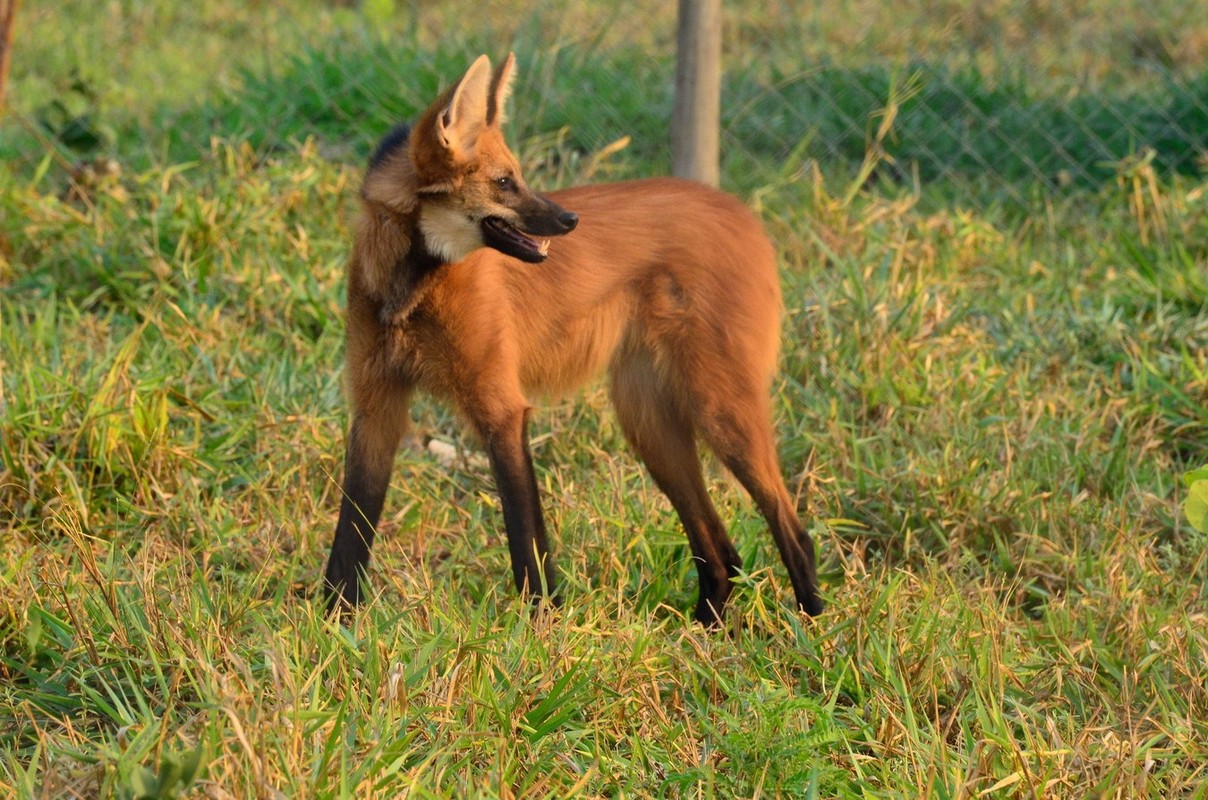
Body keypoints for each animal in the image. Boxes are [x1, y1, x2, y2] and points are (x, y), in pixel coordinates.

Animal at [326, 53, 826, 628]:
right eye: (504, 182)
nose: (570, 219)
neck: (411, 286)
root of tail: (742, 211)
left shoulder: (501, 409)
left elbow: (526, 538)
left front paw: (539, 625)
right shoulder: (374, 408)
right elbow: (350, 533)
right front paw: (334, 620)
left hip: (717, 409)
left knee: (792, 529)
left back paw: (812, 630)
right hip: (649, 423)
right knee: (721, 548)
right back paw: (706, 630)